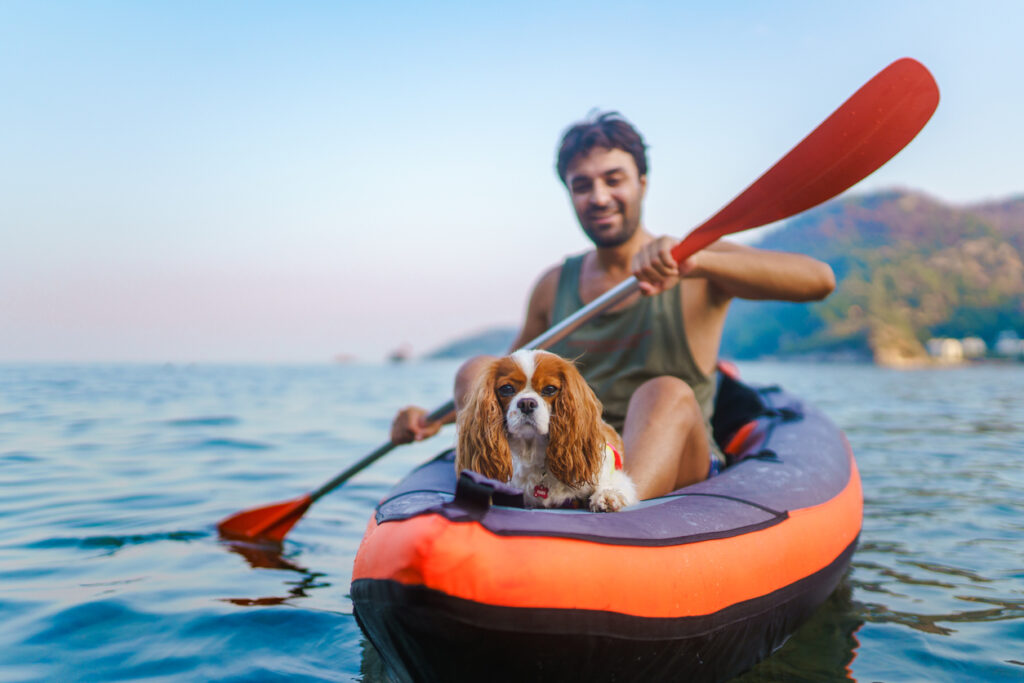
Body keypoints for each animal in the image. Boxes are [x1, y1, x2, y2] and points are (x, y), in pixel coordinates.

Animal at [458, 350, 634, 509]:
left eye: (549, 389)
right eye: (506, 389)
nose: (526, 403)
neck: (532, 449)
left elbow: (614, 484)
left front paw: (607, 495)